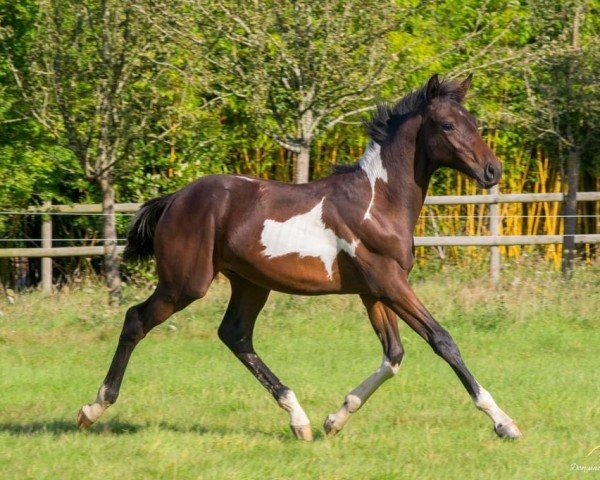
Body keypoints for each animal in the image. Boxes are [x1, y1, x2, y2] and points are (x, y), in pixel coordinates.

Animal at [78, 76, 520, 442]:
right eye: (447, 125)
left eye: (472, 121)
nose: (492, 170)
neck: (378, 201)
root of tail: (174, 199)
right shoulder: (389, 282)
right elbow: (442, 341)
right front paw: (504, 423)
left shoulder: (374, 291)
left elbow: (393, 355)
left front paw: (335, 420)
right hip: (184, 284)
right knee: (136, 320)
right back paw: (92, 408)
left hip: (250, 284)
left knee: (236, 335)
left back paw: (300, 421)